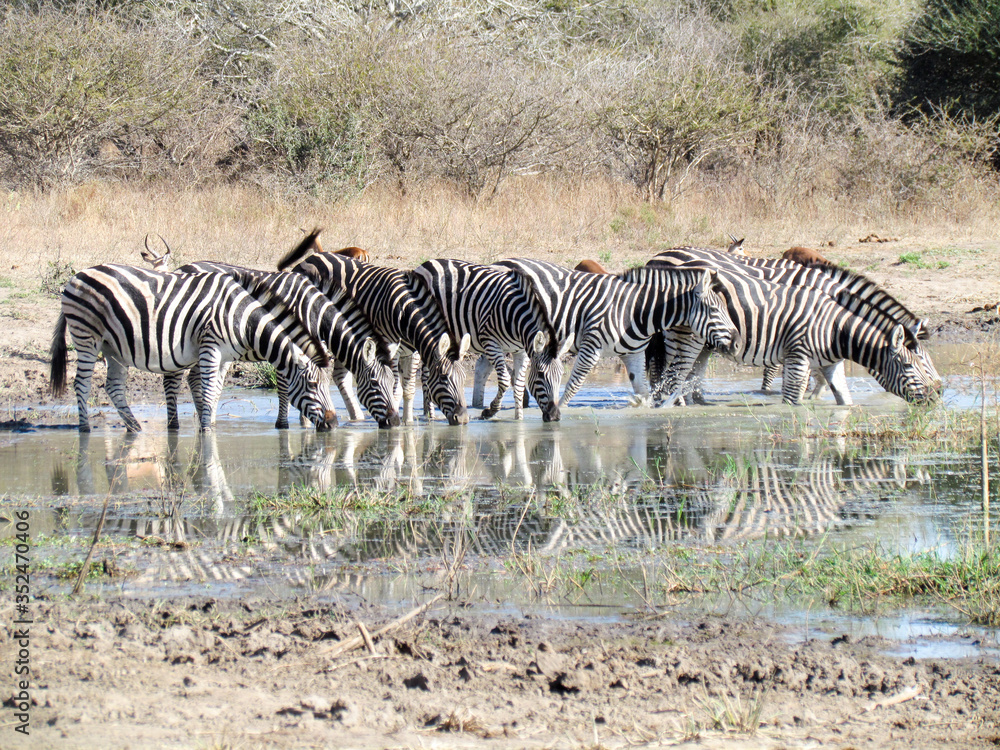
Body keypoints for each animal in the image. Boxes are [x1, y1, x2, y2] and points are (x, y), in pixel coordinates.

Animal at [50, 265, 338, 432]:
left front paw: (206, 427)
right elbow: (209, 392)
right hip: (87, 336)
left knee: (113, 386)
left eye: (328, 385)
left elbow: (211, 392)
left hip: (113, 347)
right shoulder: (210, 347)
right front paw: (207, 433)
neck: (242, 319)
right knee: (81, 383)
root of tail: (78, 274)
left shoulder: (223, 355)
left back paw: (135, 428)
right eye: (313, 385)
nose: (334, 423)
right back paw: (85, 428)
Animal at [276, 250, 472, 425]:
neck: (404, 312)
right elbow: (395, 388)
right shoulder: (390, 348)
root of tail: (308, 259)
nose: (463, 419)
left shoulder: (412, 352)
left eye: (464, 378)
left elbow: (408, 389)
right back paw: (304, 423)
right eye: (444, 378)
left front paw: (408, 424)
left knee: (339, 375)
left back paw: (356, 419)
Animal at [412, 259, 573, 422]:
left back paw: (427, 411)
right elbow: (505, 381)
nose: (554, 416)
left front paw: (519, 419)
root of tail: (426, 264)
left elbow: (519, 385)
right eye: (540, 374)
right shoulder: (491, 343)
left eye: (560, 375)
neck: (516, 318)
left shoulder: (521, 351)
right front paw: (490, 411)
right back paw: (430, 416)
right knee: (423, 374)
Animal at [487, 259, 740, 410]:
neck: (634, 310)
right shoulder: (591, 347)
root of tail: (501, 262)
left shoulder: (634, 354)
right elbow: (574, 384)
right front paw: (558, 412)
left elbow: (643, 392)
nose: (738, 343)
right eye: (715, 310)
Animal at [647, 245, 938, 404]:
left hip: (705, 341)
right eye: (919, 364)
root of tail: (656, 257)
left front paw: (814, 396)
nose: (939, 393)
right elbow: (796, 376)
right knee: (670, 372)